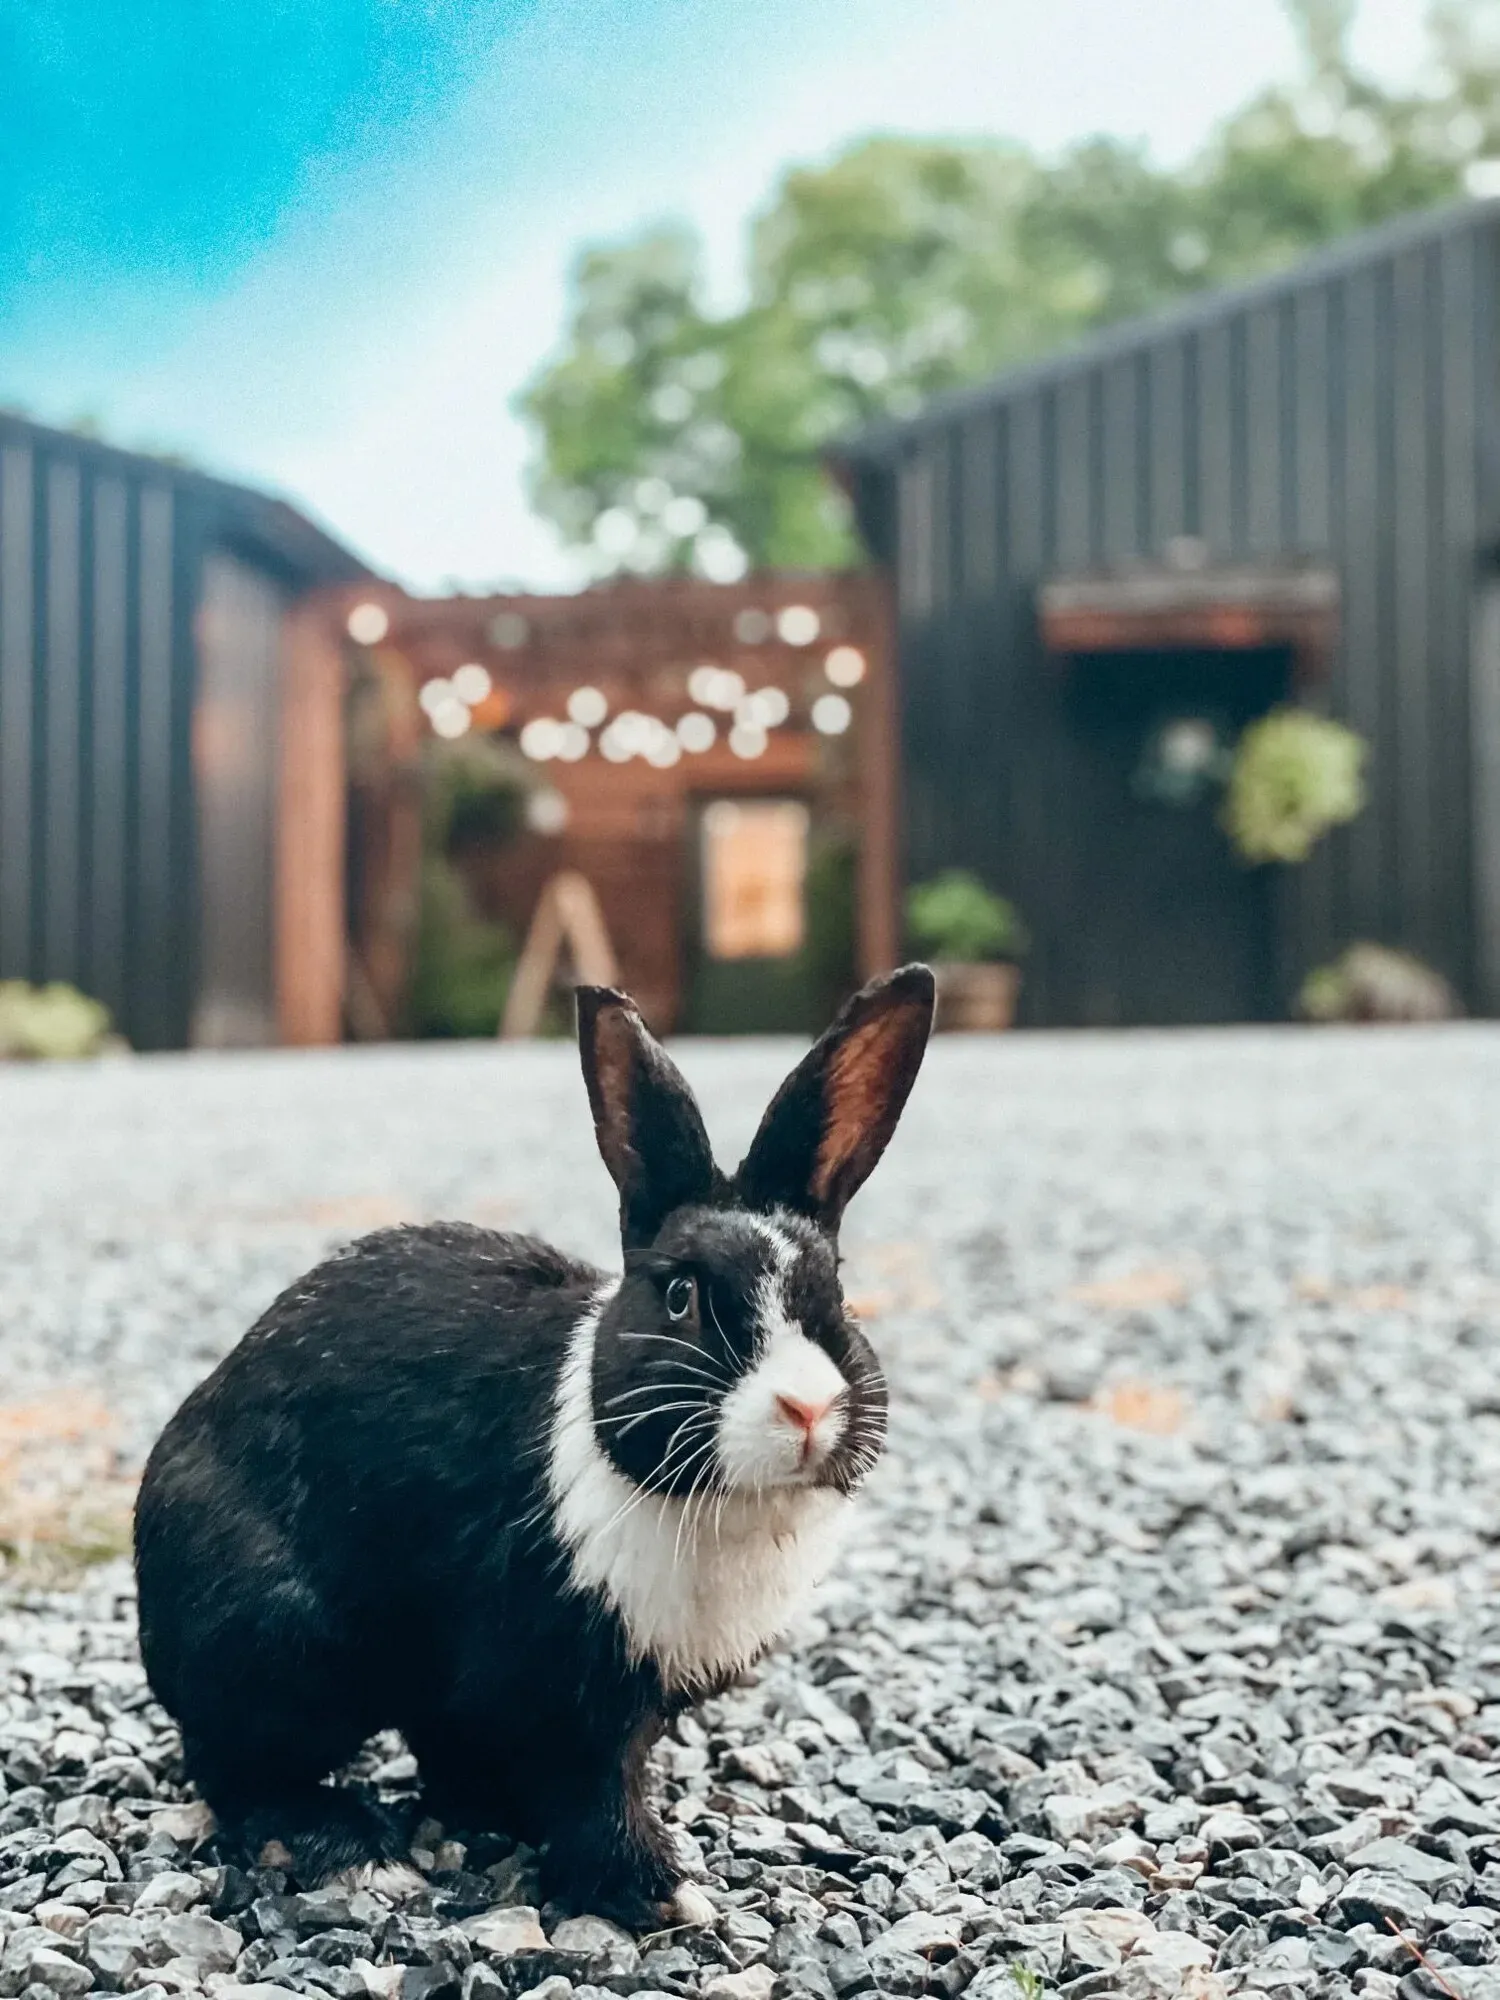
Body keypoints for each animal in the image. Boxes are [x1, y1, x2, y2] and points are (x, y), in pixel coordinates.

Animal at [133, 964, 934, 1927]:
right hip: (281, 1642)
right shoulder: (562, 1688)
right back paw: (352, 1845)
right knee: (236, 1770)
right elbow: (596, 1792)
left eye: (837, 1299)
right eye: (680, 1298)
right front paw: (658, 1893)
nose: (808, 1409)